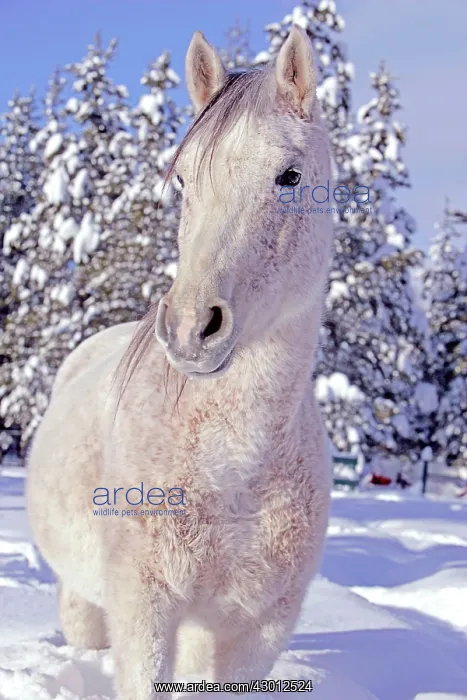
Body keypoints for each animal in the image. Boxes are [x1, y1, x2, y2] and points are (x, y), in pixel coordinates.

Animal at [27, 25, 334, 700]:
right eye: (185, 181)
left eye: (290, 175)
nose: (192, 328)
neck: (233, 471)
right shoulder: (144, 612)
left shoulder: (258, 631)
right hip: (84, 601)